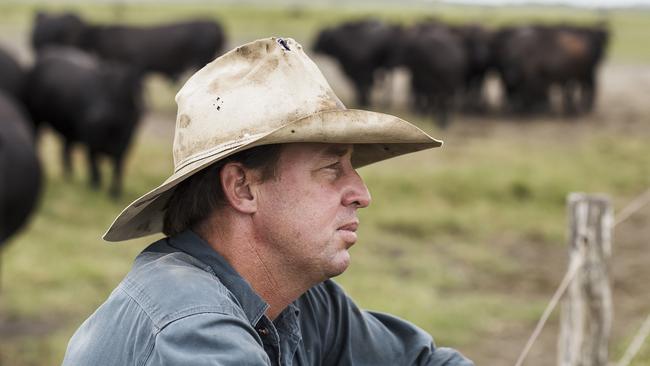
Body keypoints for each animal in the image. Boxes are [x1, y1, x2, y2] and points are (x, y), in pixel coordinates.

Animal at [26, 48, 142, 199]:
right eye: (98, 88)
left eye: (118, 93)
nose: (93, 116)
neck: (112, 131)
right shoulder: (90, 143)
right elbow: (94, 167)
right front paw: (94, 186)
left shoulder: (124, 146)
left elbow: (118, 169)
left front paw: (115, 193)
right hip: (36, 119)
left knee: (65, 149)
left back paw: (69, 175)